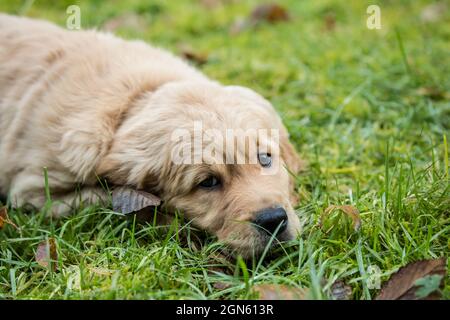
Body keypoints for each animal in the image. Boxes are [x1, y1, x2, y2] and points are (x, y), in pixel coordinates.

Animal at [0, 14, 302, 258]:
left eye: (265, 158)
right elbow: (105, 200)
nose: (273, 219)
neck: (133, 100)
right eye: (207, 182)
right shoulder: (35, 190)